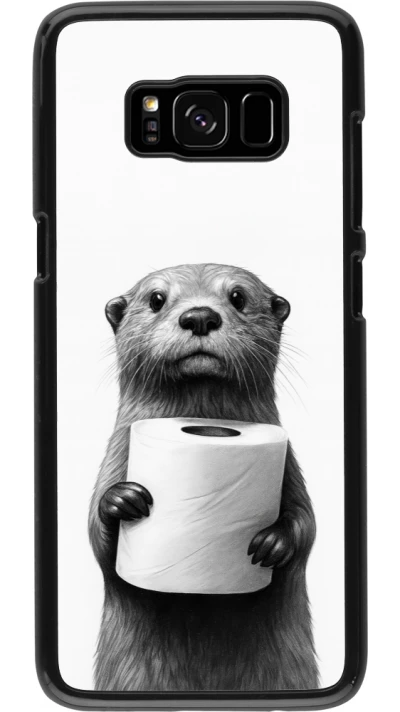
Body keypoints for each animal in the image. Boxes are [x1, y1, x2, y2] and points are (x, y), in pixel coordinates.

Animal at [89, 263, 318, 692]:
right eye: (156, 299)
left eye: (238, 297)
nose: (199, 316)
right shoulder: (114, 457)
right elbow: (97, 539)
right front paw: (121, 500)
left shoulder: (291, 467)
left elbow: (307, 524)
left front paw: (273, 543)